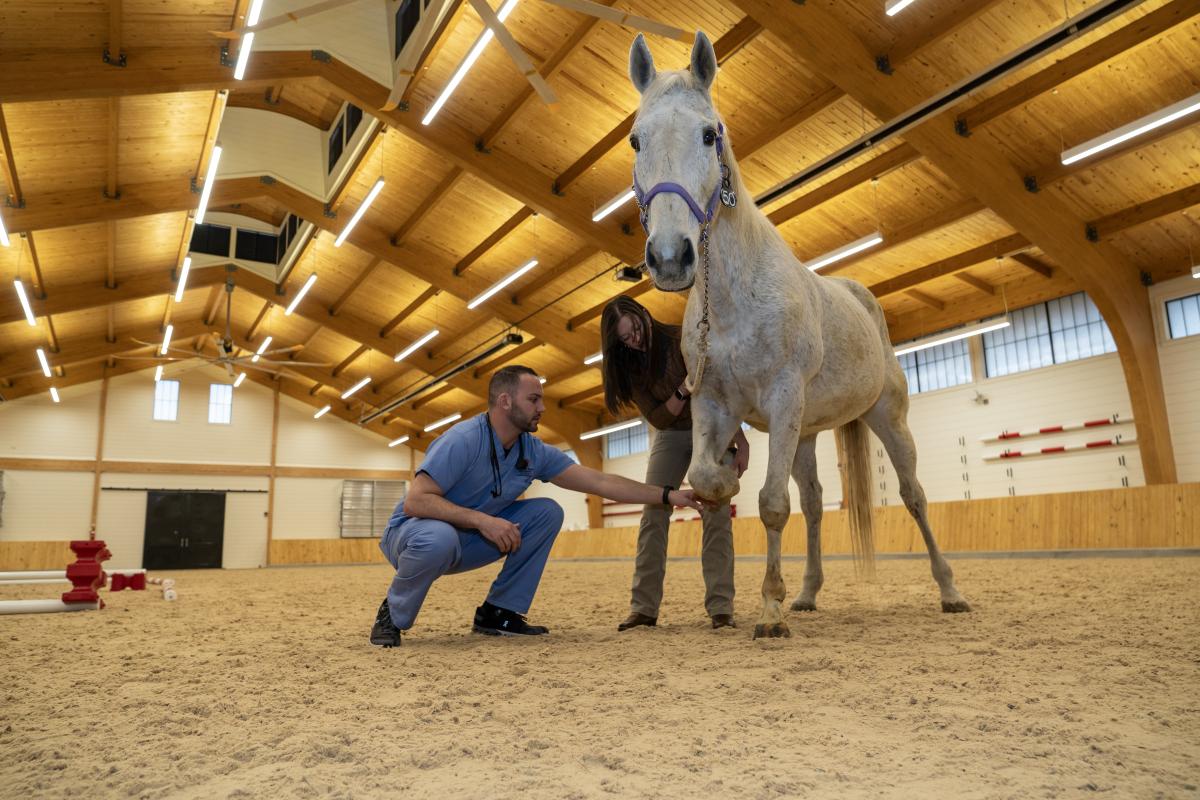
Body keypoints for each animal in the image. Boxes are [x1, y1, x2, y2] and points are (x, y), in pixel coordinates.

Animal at [624, 31, 969, 638]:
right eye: (637, 139)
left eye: (710, 133)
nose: (669, 257)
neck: (733, 299)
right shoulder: (713, 406)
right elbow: (709, 478)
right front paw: (726, 487)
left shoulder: (784, 397)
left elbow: (770, 504)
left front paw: (769, 612)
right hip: (806, 432)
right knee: (813, 503)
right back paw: (807, 594)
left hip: (887, 419)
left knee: (913, 496)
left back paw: (949, 591)